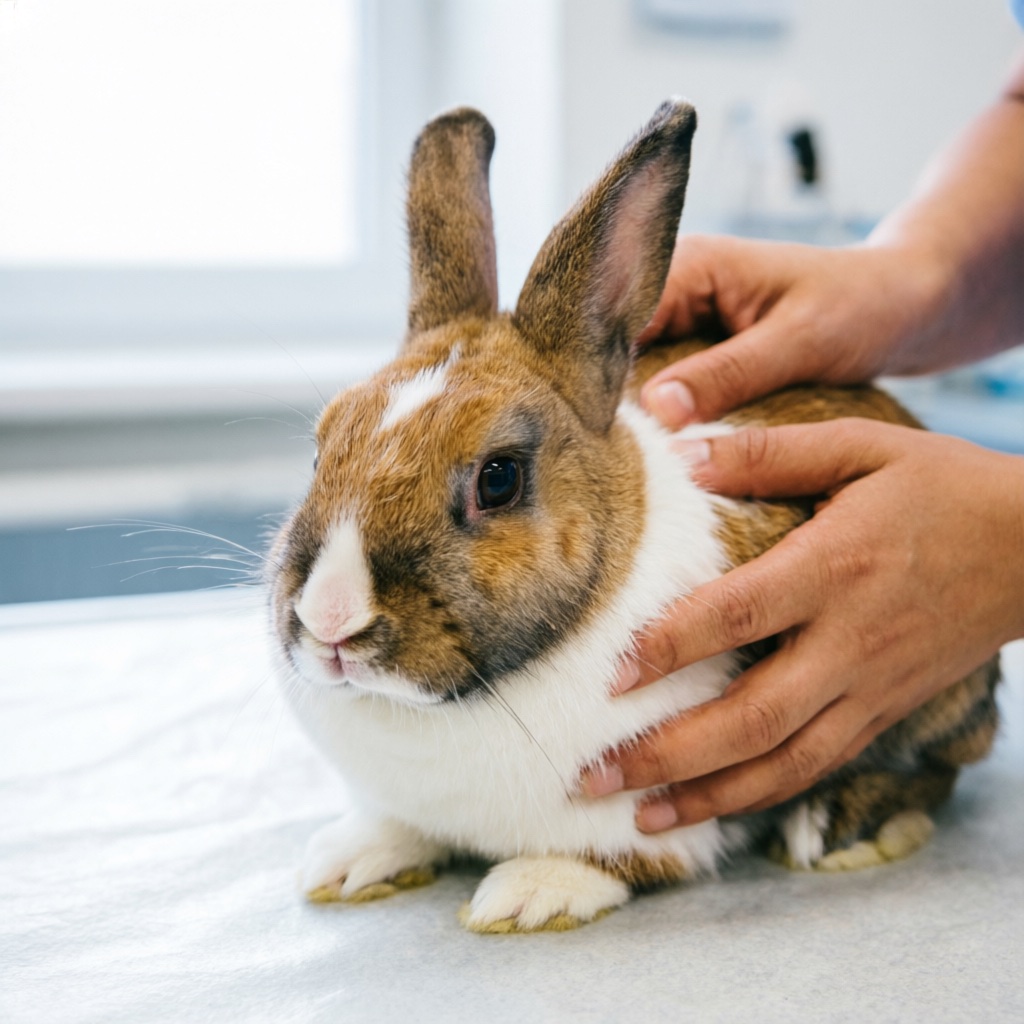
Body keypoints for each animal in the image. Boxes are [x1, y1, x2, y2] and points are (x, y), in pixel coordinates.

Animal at [268, 100, 1000, 933]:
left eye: (498, 479)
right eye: (321, 449)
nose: (330, 621)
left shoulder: (654, 812)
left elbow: (618, 860)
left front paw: (528, 895)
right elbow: (397, 826)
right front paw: (345, 860)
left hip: (937, 697)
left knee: (942, 769)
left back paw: (833, 825)